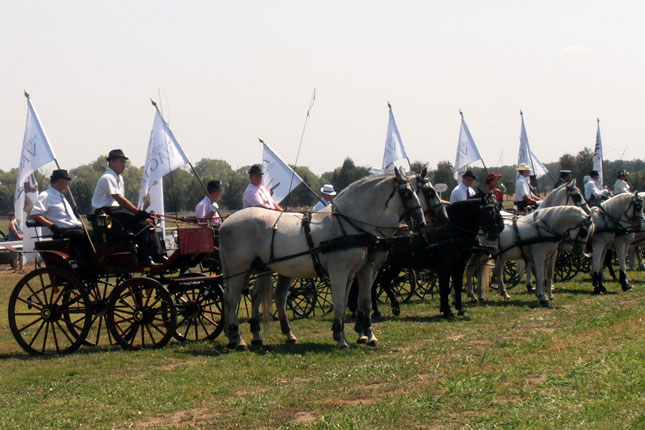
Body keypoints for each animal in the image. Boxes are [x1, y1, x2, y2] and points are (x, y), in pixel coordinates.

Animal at [219, 168, 426, 350]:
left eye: (418, 192)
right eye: (407, 193)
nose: (421, 223)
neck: (347, 224)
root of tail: (224, 223)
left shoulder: (351, 273)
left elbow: (350, 302)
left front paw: (346, 335)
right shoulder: (340, 272)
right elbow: (341, 304)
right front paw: (343, 340)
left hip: (261, 268)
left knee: (258, 296)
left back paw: (251, 336)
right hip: (240, 269)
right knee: (231, 299)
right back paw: (238, 340)